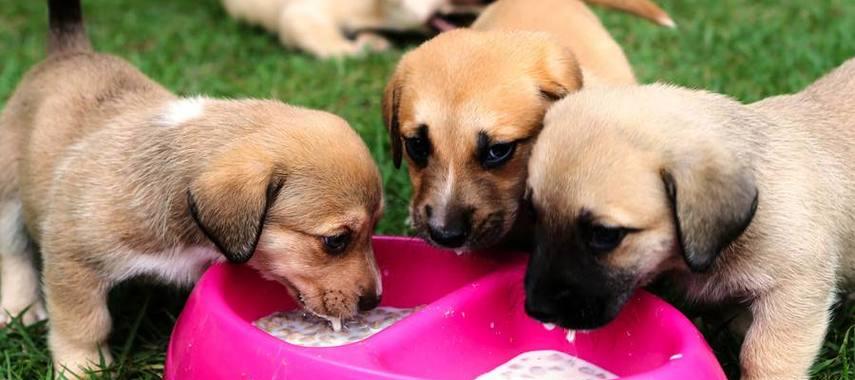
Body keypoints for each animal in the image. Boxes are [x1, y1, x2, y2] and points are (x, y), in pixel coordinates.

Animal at [0, 0, 382, 376]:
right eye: (336, 241)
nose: (374, 300)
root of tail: (69, 51)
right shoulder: (72, 258)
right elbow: (84, 325)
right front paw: (82, 368)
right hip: (9, 196)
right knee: (14, 255)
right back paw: (20, 309)